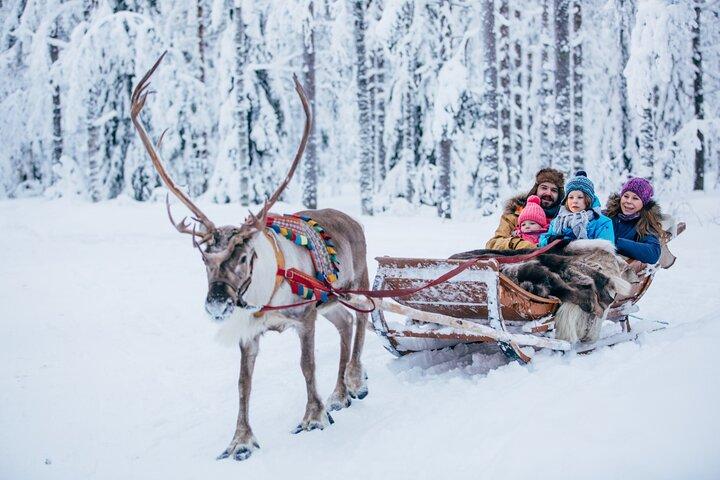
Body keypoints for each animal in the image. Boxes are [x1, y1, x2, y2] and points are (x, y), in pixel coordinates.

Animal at [130, 53, 370, 461]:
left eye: (243, 257)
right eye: (204, 260)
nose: (216, 304)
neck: (266, 295)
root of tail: (353, 219)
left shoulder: (305, 317)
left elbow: (307, 366)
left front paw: (313, 416)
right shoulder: (248, 332)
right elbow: (243, 383)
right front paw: (240, 440)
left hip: (357, 283)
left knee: (364, 320)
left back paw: (354, 381)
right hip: (331, 302)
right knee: (346, 324)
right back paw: (339, 393)